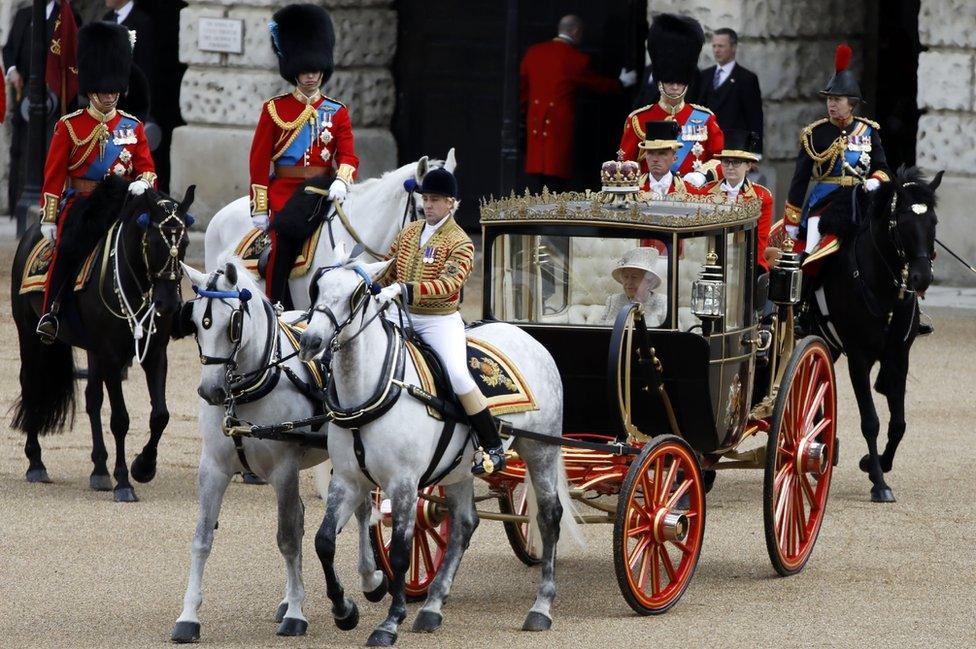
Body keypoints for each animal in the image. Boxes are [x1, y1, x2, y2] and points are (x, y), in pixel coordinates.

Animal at [10, 177, 194, 502]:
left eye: (183, 244)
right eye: (153, 242)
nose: (169, 305)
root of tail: (32, 232)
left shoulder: (154, 352)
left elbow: (160, 415)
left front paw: (143, 467)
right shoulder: (111, 354)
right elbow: (120, 419)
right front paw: (124, 482)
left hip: (93, 350)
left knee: (92, 399)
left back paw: (99, 469)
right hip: (29, 334)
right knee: (33, 384)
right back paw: (36, 462)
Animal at [173, 258, 386, 644]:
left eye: (233, 324)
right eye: (196, 322)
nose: (210, 391)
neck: (246, 393)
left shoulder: (283, 470)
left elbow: (287, 538)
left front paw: (297, 615)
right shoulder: (212, 468)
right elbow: (201, 540)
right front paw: (188, 616)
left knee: (361, 511)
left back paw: (369, 578)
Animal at [298, 248, 580, 644]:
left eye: (356, 294)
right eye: (317, 287)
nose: (311, 341)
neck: (373, 391)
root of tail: (523, 333)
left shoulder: (403, 484)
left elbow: (401, 554)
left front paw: (389, 622)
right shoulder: (349, 480)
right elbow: (324, 541)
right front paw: (345, 610)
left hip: (540, 451)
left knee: (549, 517)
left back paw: (541, 607)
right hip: (458, 468)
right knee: (464, 524)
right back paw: (432, 606)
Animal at [812, 166, 940, 502]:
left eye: (933, 221)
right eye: (902, 223)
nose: (922, 278)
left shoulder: (898, 356)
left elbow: (898, 424)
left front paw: (874, 463)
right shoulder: (859, 357)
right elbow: (871, 421)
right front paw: (880, 483)